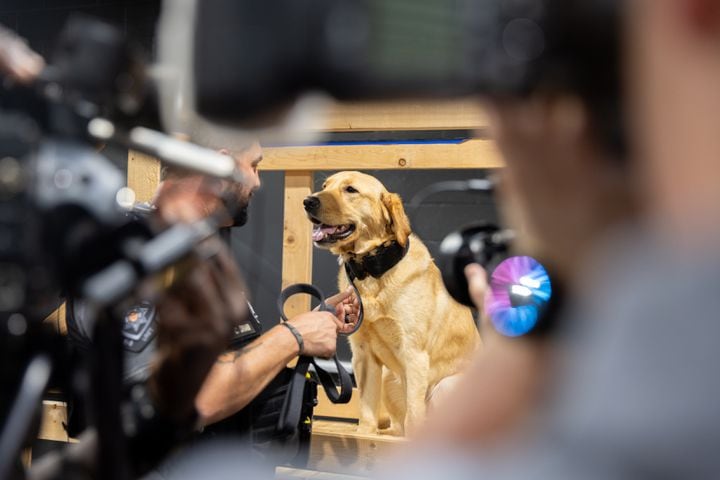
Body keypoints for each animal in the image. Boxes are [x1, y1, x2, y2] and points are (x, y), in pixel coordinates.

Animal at [302, 170, 478, 436]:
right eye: (324, 185)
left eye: (350, 190)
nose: (308, 201)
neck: (371, 270)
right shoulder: (363, 355)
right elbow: (367, 414)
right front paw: (364, 436)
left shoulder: (414, 354)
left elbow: (414, 416)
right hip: (388, 378)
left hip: (446, 386)